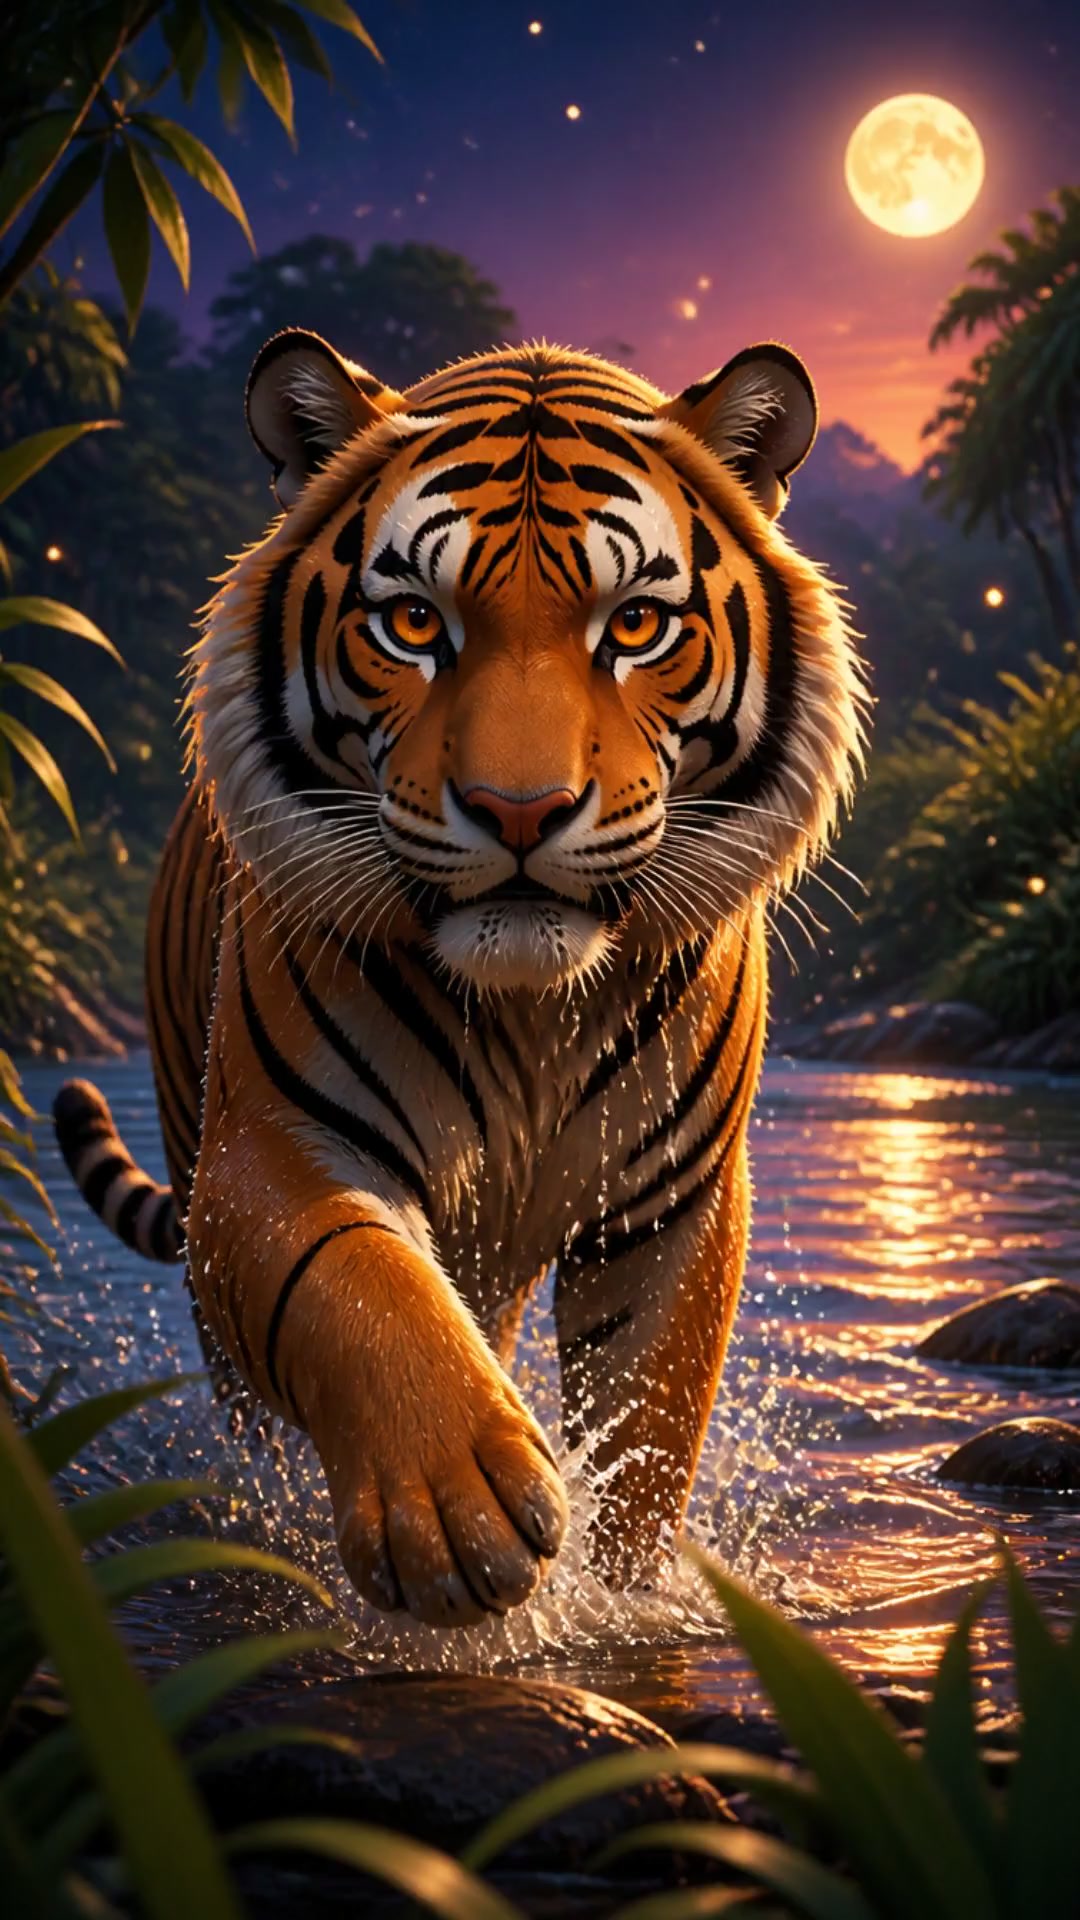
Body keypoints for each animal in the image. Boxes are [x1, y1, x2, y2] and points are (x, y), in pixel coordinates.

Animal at [54, 332, 864, 1629]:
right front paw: (457, 1504)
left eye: (637, 624)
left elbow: (643, 1429)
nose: (519, 811)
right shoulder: (268, 1152)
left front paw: (616, 1595)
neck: (530, 1012)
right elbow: (353, 1281)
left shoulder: (672, 1206)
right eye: (411, 622)